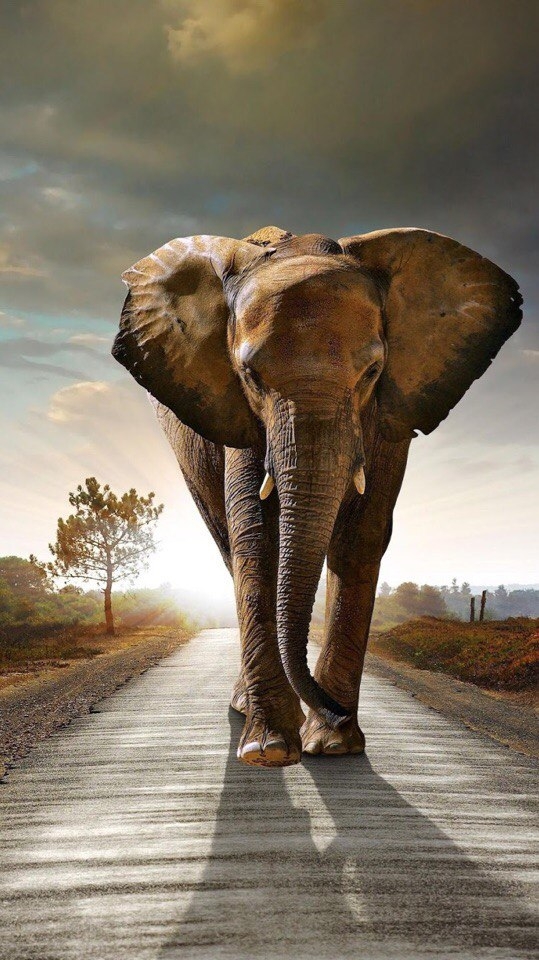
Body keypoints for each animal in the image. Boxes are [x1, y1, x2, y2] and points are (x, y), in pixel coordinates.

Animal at [112, 225, 522, 768]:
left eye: (372, 372)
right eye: (251, 376)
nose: (334, 710)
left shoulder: (389, 413)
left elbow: (362, 535)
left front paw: (333, 745)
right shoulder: (239, 414)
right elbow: (256, 536)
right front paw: (270, 750)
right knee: (227, 544)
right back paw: (247, 710)